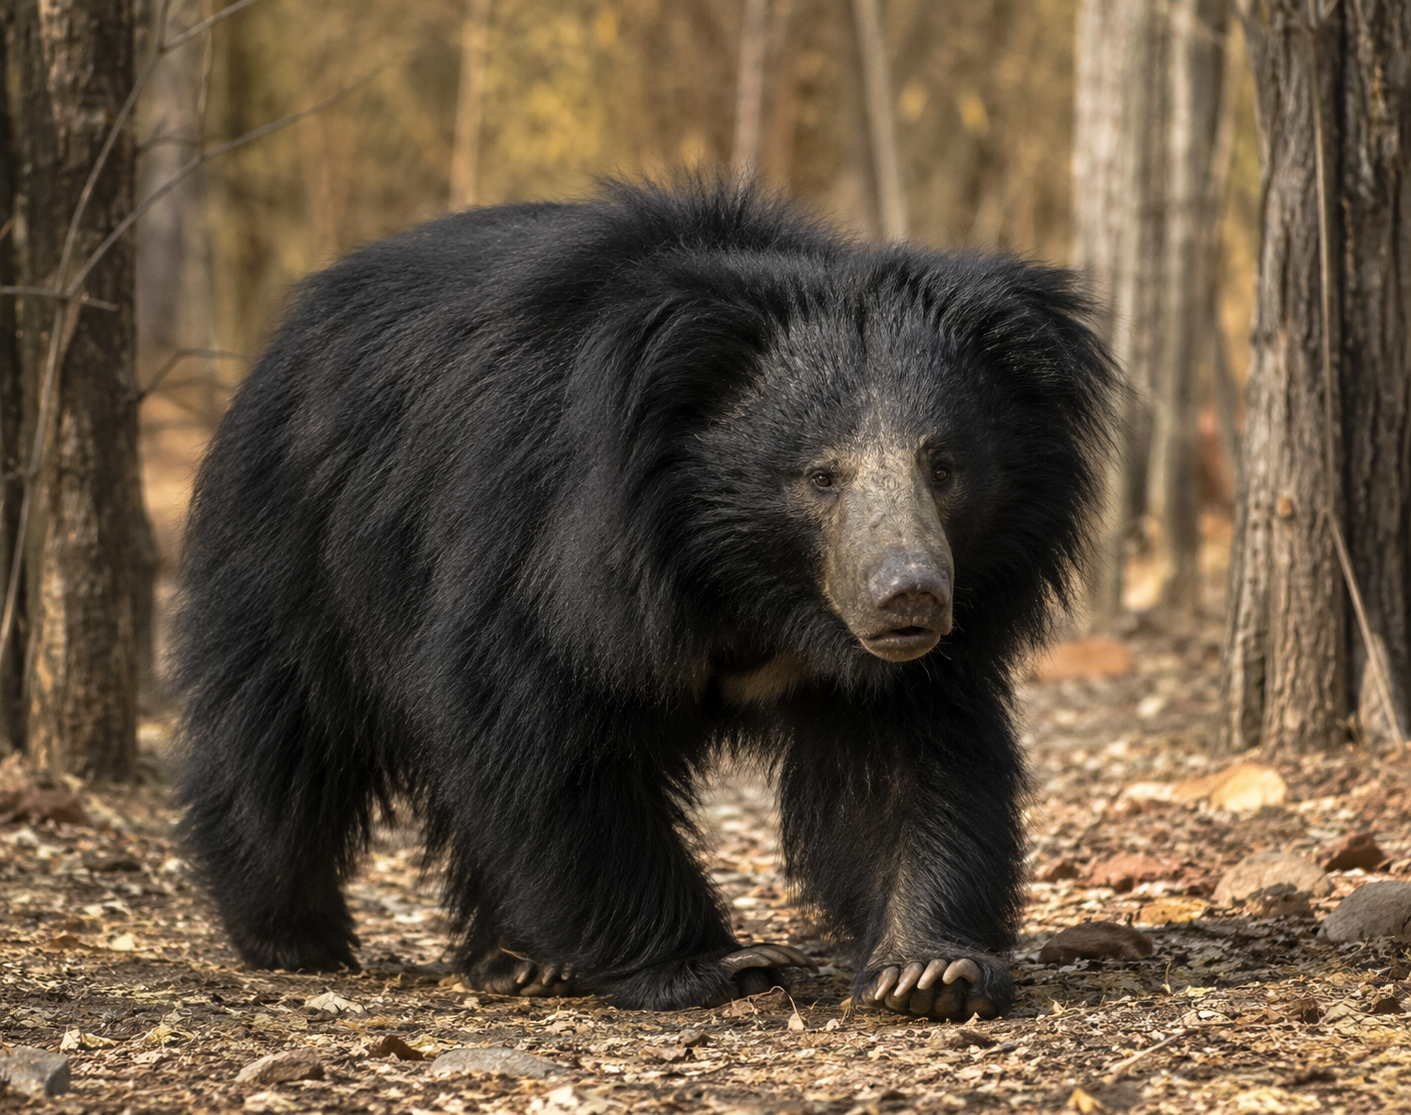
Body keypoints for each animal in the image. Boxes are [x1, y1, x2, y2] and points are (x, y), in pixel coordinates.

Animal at [175, 181, 1117, 1021]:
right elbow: (552, 744)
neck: (749, 584)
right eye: (821, 475)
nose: (908, 597)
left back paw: (519, 960)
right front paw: (715, 964)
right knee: (285, 740)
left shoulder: (897, 658)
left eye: (942, 465)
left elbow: (904, 762)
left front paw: (926, 969)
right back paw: (291, 932)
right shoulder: (546, 554)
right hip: (297, 546)